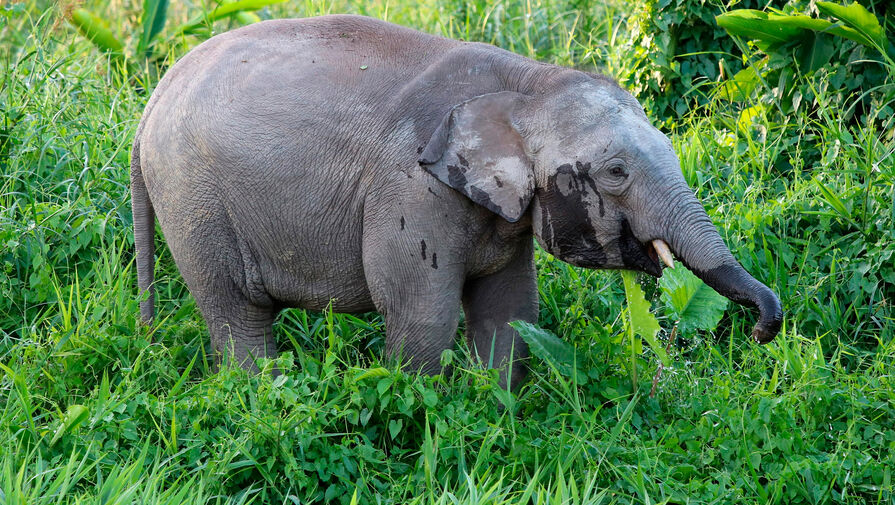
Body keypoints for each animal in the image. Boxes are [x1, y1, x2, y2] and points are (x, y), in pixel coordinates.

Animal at [130, 14, 780, 386]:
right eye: (616, 172)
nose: (760, 329)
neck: (527, 81)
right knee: (237, 312)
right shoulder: (412, 189)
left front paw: (496, 410)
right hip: (194, 199)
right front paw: (421, 407)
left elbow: (509, 310)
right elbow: (423, 313)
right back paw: (266, 398)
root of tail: (153, 99)